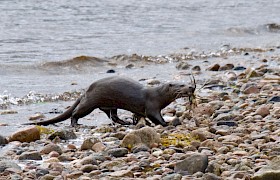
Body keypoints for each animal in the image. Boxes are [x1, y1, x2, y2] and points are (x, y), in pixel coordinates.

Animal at [24, 76, 195, 126]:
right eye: (181, 85)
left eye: (187, 82)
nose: (192, 87)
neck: (157, 94)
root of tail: (86, 90)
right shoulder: (152, 106)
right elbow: (154, 117)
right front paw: (167, 123)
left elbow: (140, 116)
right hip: (90, 103)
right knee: (76, 112)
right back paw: (75, 124)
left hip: (110, 105)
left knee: (113, 115)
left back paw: (125, 122)